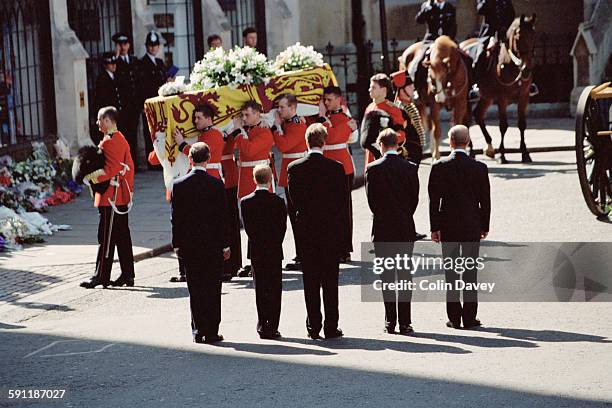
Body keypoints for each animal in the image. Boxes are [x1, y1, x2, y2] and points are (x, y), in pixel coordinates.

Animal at [462, 14, 536, 164]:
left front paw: (525, 153)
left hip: (487, 96)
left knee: (478, 114)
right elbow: (503, 126)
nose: (527, 69)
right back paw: (471, 149)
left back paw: (489, 148)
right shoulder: (502, 98)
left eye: (533, 36)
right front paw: (502, 155)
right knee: (466, 120)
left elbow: (522, 124)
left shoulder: (524, 96)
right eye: (519, 38)